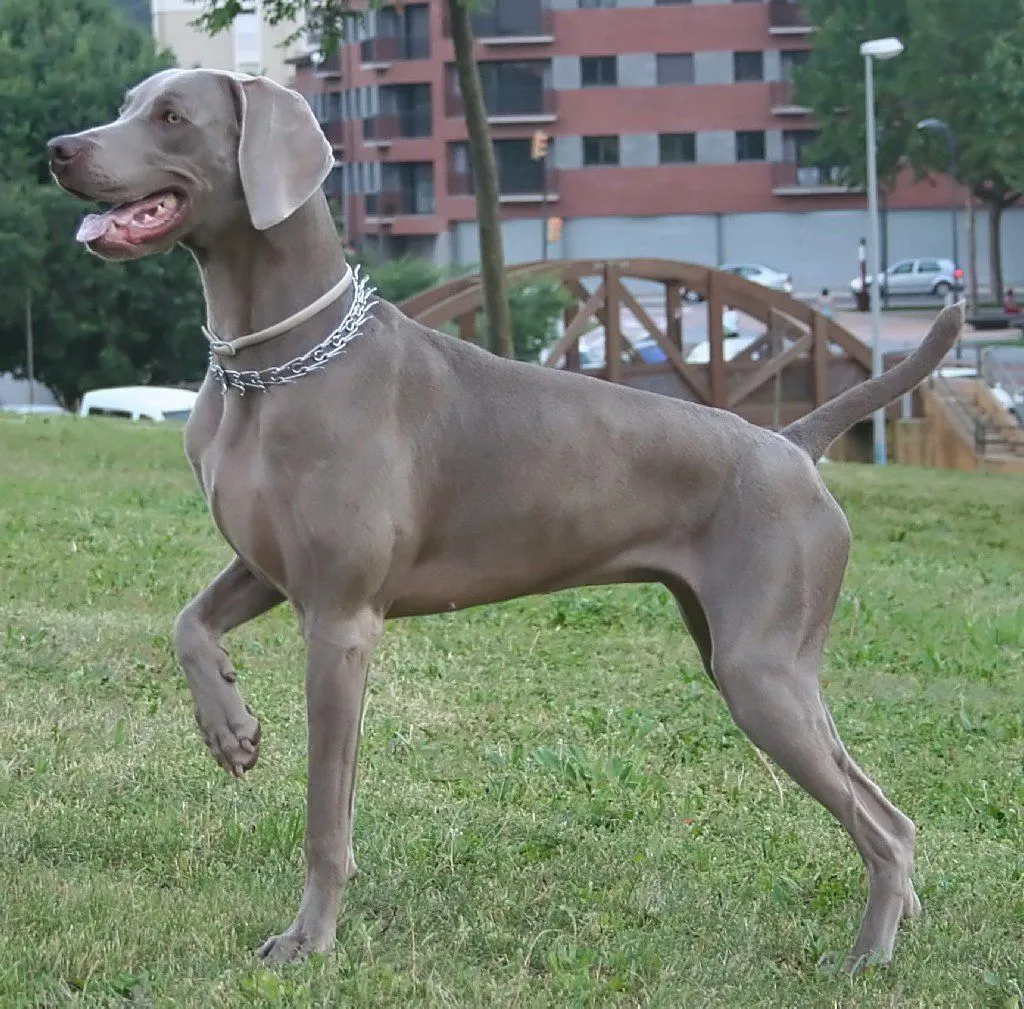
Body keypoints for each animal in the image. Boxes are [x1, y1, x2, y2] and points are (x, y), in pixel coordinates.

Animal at [46, 67, 958, 962]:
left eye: (171, 116)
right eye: (126, 105)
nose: (58, 147)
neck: (273, 367)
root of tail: (793, 440)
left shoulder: (340, 617)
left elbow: (324, 815)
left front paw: (310, 938)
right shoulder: (268, 569)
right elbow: (188, 624)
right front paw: (230, 727)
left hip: (758, 667)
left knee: (884, 822)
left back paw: (869, 953)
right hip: (750, 651)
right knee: (882, 804)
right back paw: (903, 920)